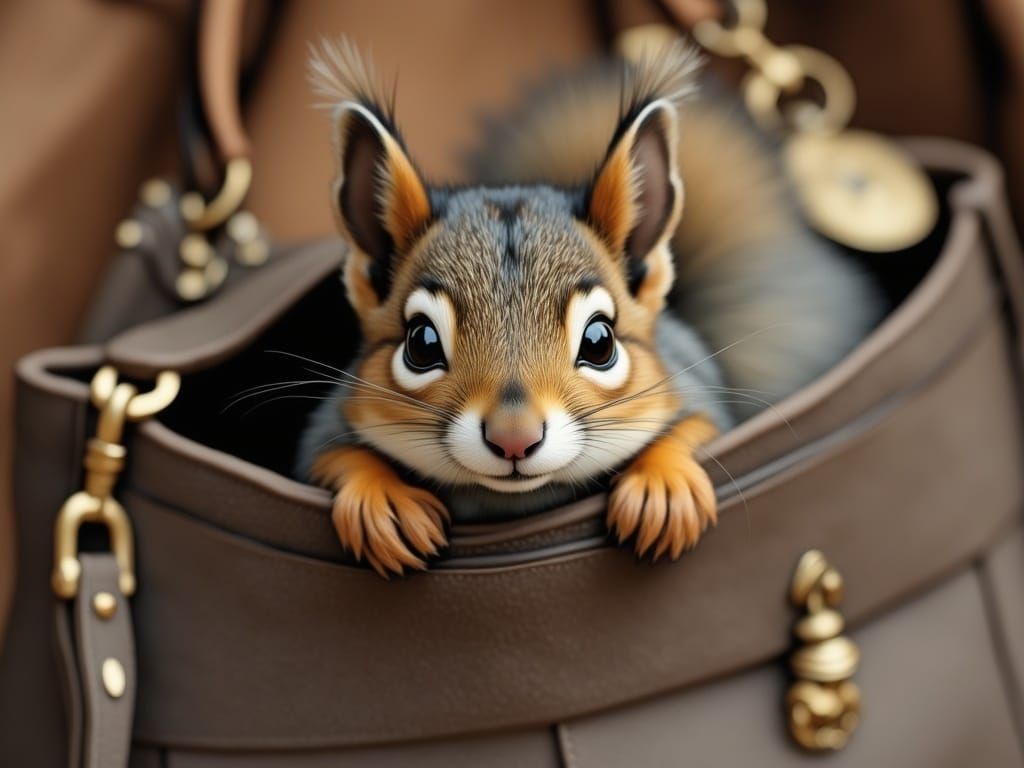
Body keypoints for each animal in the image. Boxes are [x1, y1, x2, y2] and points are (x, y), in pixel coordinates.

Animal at [297, 39, 880, 577]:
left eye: (600, 343)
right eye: (420, 344)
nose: (514, 438)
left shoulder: (701, 394)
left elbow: (697, 427)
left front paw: (661, 487)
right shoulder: (322, 430)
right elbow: (331, 454)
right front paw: (383, 501)